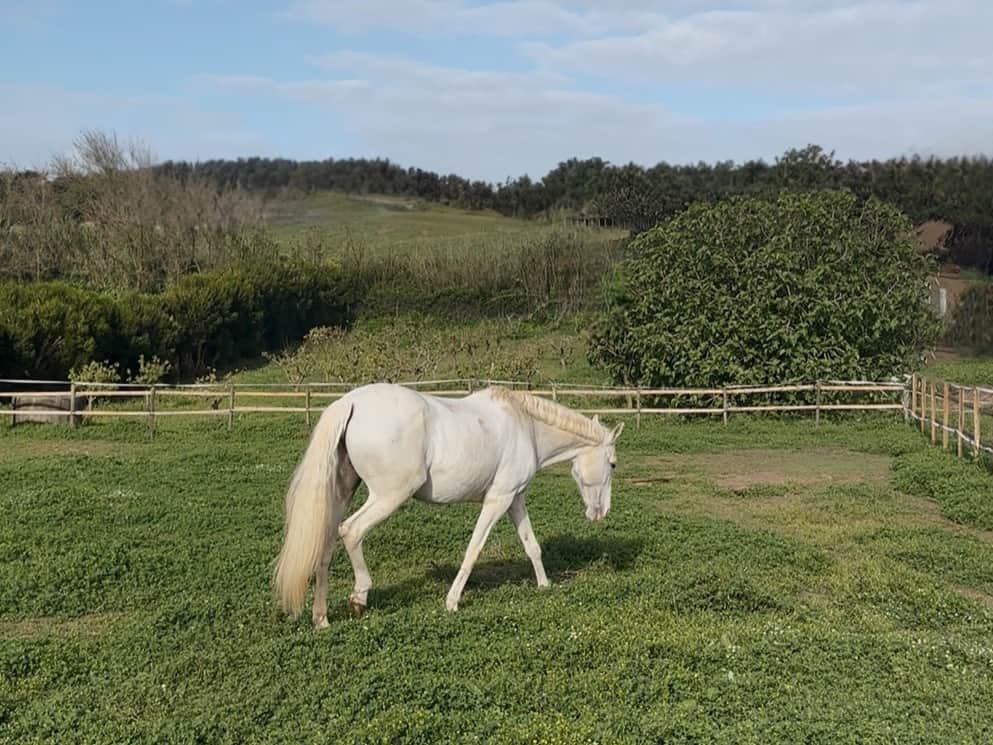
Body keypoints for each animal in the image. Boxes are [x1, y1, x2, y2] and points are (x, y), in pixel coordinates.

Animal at [272, 382, 623, 627]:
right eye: (613, 464)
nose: (600, 512)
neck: (526, 426)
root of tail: (351, 402)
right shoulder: (498, 500)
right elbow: (474, 549)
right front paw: (452, 601)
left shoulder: (514, 499)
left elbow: (531, 546)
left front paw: (544, 585)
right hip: (388, 496)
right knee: (351, 532)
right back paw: (359, 597)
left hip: (342, 494)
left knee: (327, 543)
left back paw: (321, 617)